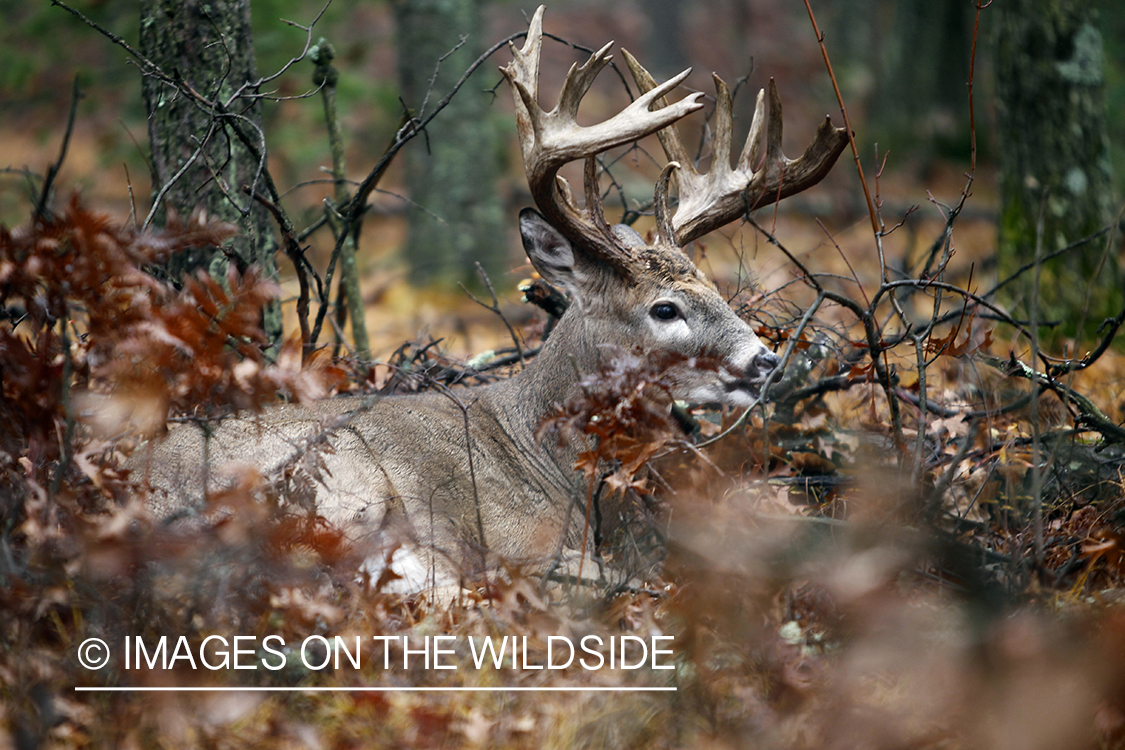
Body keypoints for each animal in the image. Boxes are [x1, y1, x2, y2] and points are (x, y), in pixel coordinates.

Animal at [138, 4, 846, 593]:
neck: (548, 460)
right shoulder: (518, 539)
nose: (766, 360)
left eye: (715, 288)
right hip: (338, 480)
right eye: (664, 309)